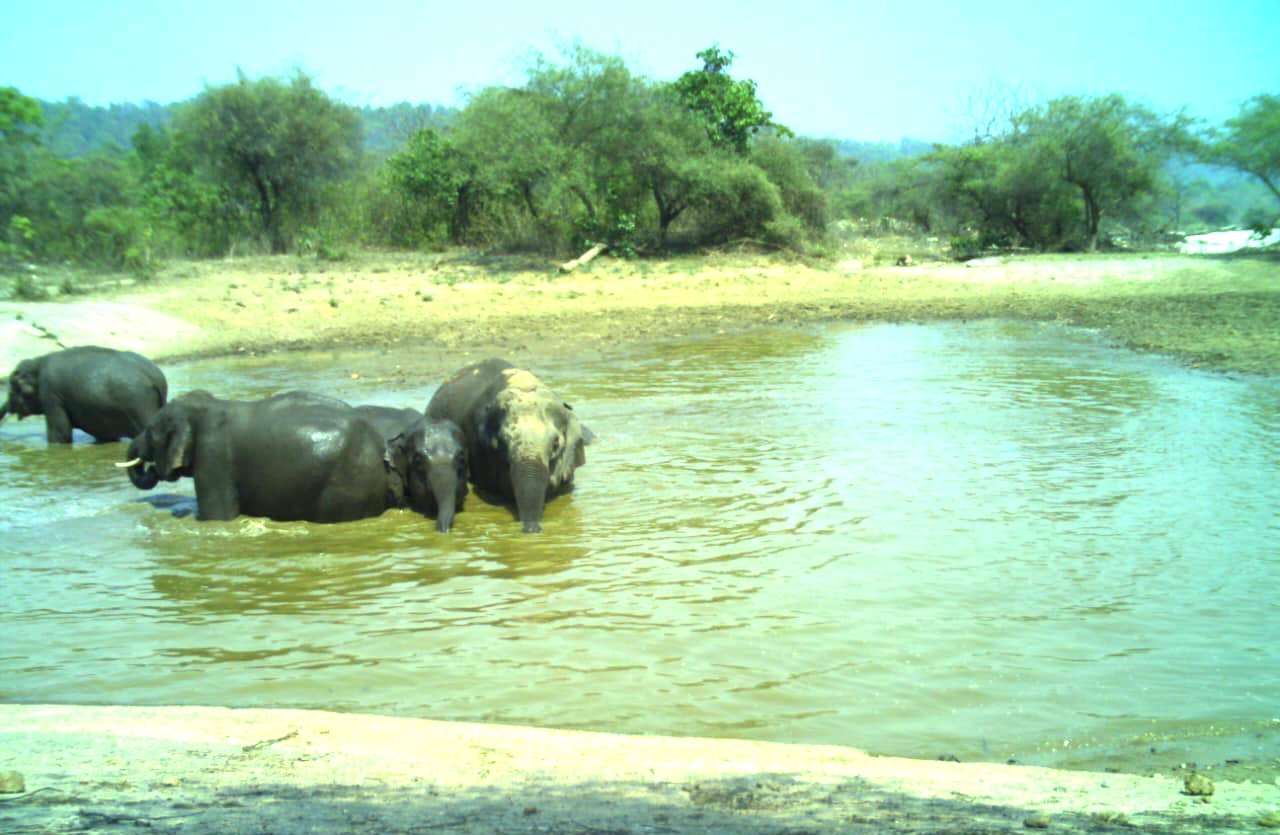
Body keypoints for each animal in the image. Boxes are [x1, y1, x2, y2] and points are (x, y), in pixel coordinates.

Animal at [1, 346, 168, 443]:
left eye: (11, 388)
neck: (38, 362)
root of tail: (157, 378)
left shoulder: (51, 393)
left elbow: (60, 433)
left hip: (140, 405)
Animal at [121, 390, 453, 526]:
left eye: (150, 431)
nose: (144, 463)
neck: (204, 407)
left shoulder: (213, 458)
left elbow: (219, 518)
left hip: (345, 485)